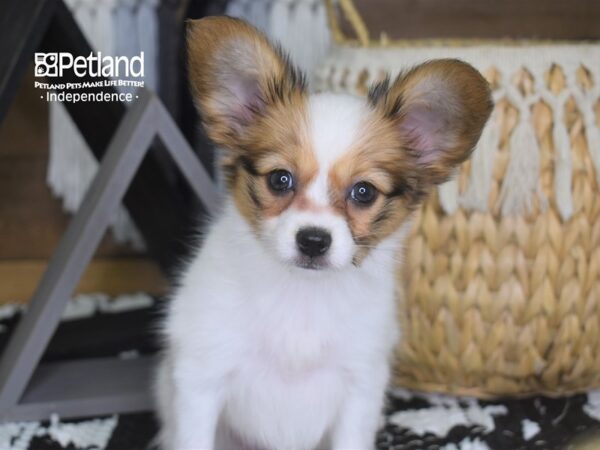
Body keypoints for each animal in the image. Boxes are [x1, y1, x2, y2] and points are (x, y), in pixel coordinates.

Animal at [155, 15, 492, 450]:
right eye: (279, 179)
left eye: (364, 192)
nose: (313, 240)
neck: (302, 297)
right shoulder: (202, 376)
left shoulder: (359, 386)